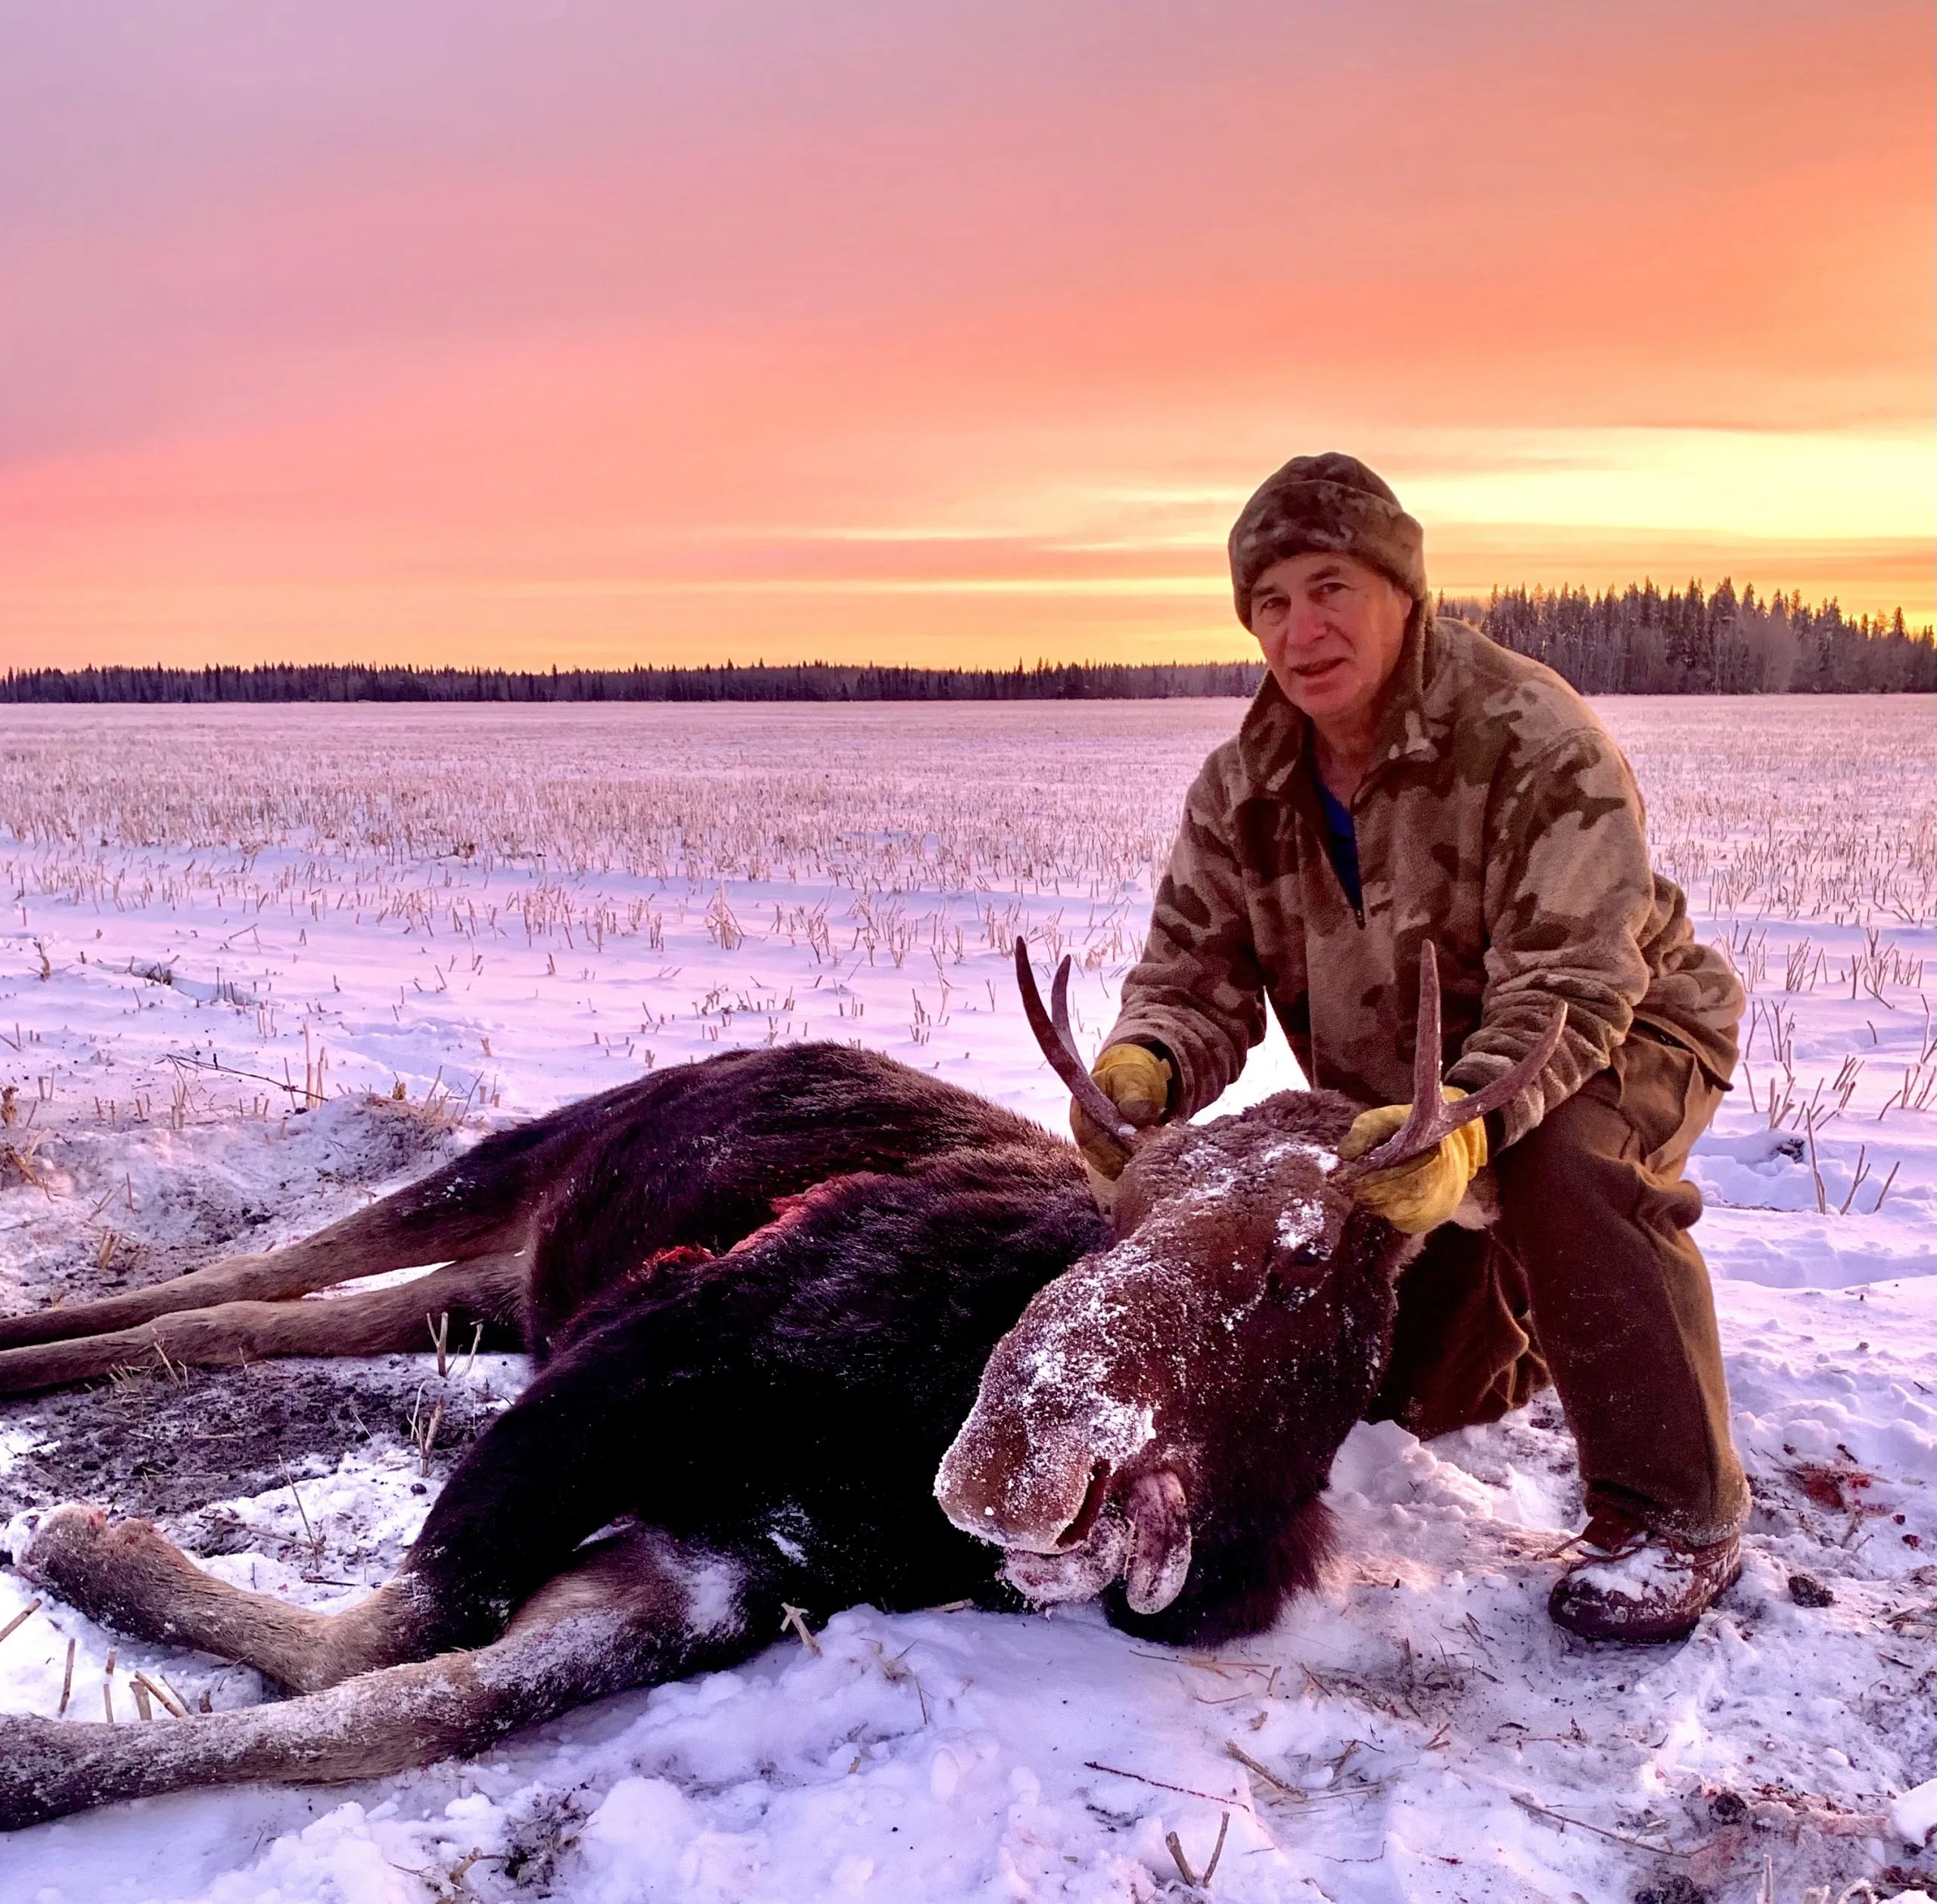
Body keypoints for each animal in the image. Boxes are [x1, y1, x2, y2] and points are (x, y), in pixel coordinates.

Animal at [0, 941, 1559, 1830]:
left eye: (1305, 1264)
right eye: (1119, 1217)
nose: (1010, 1457)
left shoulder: (736, 1562)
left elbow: (413, 1697)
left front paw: (59, 1682)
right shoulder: (664, 1341)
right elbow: (403, 1627)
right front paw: (79, 1576)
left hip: (504, 1287)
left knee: (267, 1316)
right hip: (529, 1160)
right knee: (263, 1267)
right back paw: (35, 1345)